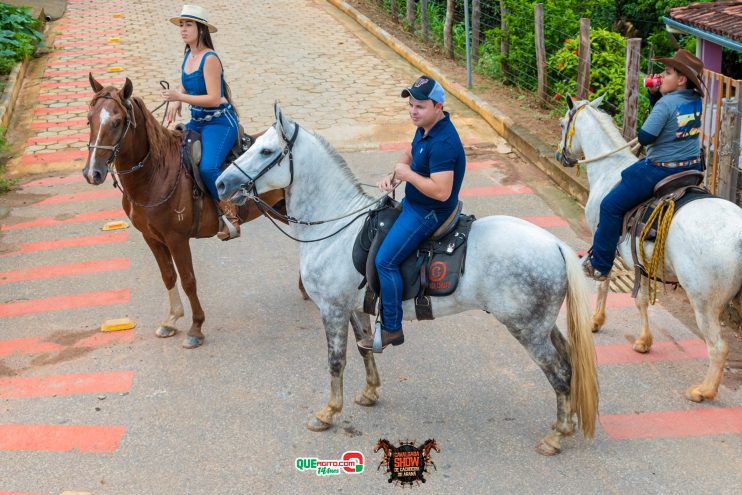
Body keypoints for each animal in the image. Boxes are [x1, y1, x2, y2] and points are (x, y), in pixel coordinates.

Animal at [83, 75, 288, 350]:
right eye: (89, 119)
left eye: (116, 122)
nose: (92, 173)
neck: (156, 173)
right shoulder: (151, 237)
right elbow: (168, 276)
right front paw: (171, 320)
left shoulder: (176, 239)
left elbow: (189, 281)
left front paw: (196, 328)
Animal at [215, 104, 600, 458]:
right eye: (250, 143)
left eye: (266, 151)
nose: (220, 183)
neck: (335, 226)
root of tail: (554, 244)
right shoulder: (354, 308)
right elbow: (363, 348)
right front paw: (370, 391)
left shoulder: (332, 309)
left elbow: (336, 361)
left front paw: (328, 412)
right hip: (541, 325)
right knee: (568, 363)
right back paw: (565, 424)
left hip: (527, 330)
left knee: (559, 373)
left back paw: (556, 436)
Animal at [560, 96, 742, 404]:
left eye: (563, 124)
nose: (560, 156)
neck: (609, 170)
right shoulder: (641, 261)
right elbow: (642, 300)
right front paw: (644, 341)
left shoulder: (603, 236)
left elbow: (604, 281)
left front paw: (596, 320)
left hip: (704, 301)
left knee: (718, 347)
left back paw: (703, 390)